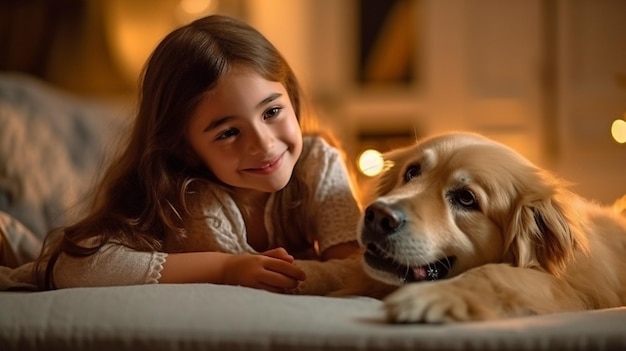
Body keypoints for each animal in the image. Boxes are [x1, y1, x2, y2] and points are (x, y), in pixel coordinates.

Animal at [356, 133, 624, 324]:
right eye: (412, 172)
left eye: (466, 198)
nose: (377, 216)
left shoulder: (574, 291)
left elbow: (494, 273)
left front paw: (433, 296)